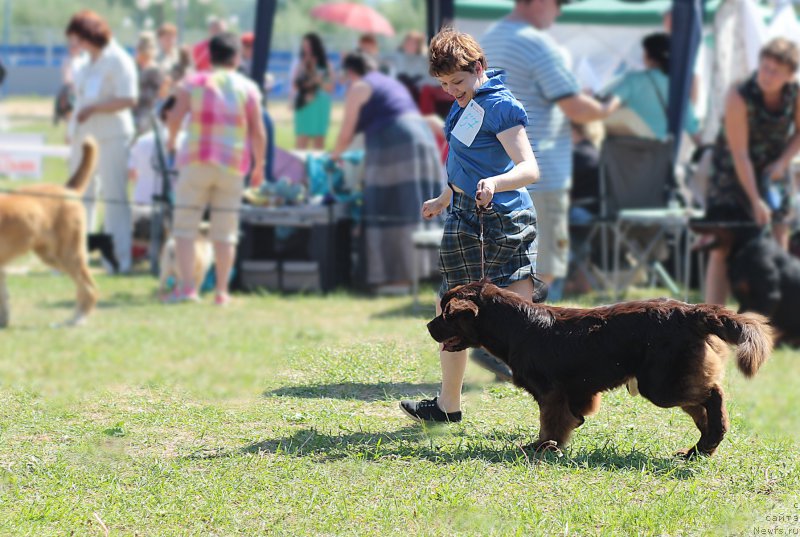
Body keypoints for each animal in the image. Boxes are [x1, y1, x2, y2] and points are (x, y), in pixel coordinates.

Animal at [0, 137, 99, 326]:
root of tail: (68, 189)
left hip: (68, 254)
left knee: (89, 287)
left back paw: (78, 320)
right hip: (52, 256)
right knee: (83, 286)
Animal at [432, 280, 776, 456]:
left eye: (447, 314)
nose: (427, 326)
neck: (516, 326)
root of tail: (692, 312)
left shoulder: (551, 393)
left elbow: (550, 424)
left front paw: (541, 448)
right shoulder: (573, 395)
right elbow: (571, 419)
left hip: (661, 384)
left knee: (713, 394)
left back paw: (709, 439)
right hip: (670, 379)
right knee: (703, 408)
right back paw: (703, 447)